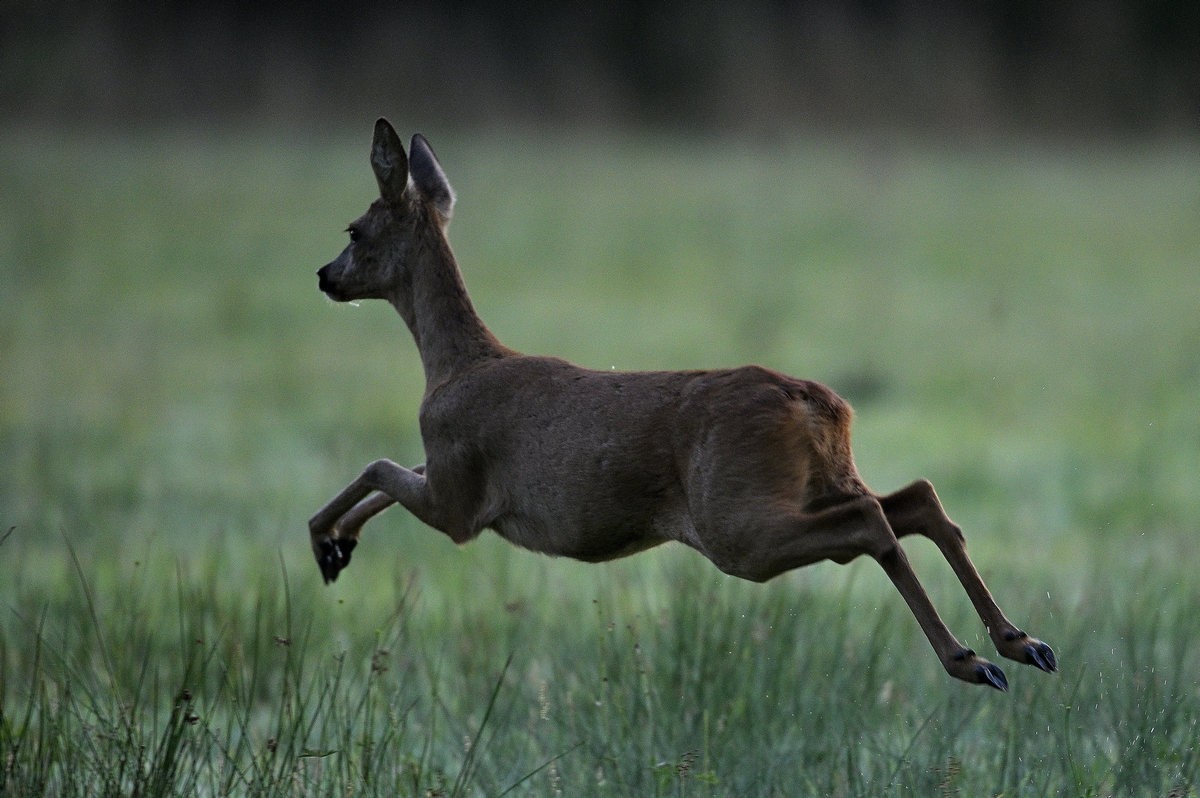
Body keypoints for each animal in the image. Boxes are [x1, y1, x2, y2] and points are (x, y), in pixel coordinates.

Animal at [312, 115, 1060, 686]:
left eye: (353, 231)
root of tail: (817, 404)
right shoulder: (449, 482)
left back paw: (970, 659)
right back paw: (1021, 644)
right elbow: (386, 474)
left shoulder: (460, 498)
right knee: (915, 500)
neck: (450, 367)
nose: (323, 275)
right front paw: (340, 547)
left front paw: (324, 543)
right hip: (812, 482)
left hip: (735, 520)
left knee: (872, 521)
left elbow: (379, 466)